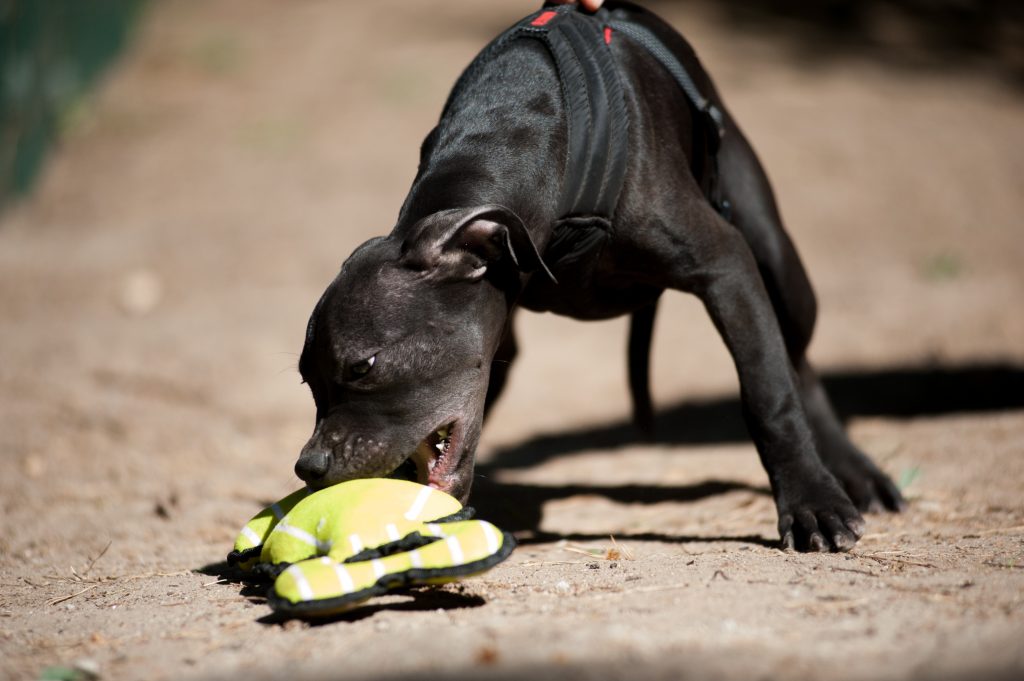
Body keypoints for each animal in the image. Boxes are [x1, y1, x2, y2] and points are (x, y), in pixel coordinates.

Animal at [296, 2, 905, 548]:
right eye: (307, 380)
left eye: (364, 365)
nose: (308, 466)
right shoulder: (495, 334)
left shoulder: (726, 266)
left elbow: (768, 395)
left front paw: (810, 506)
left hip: (775, 255)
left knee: (798, 361)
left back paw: (854, 475)